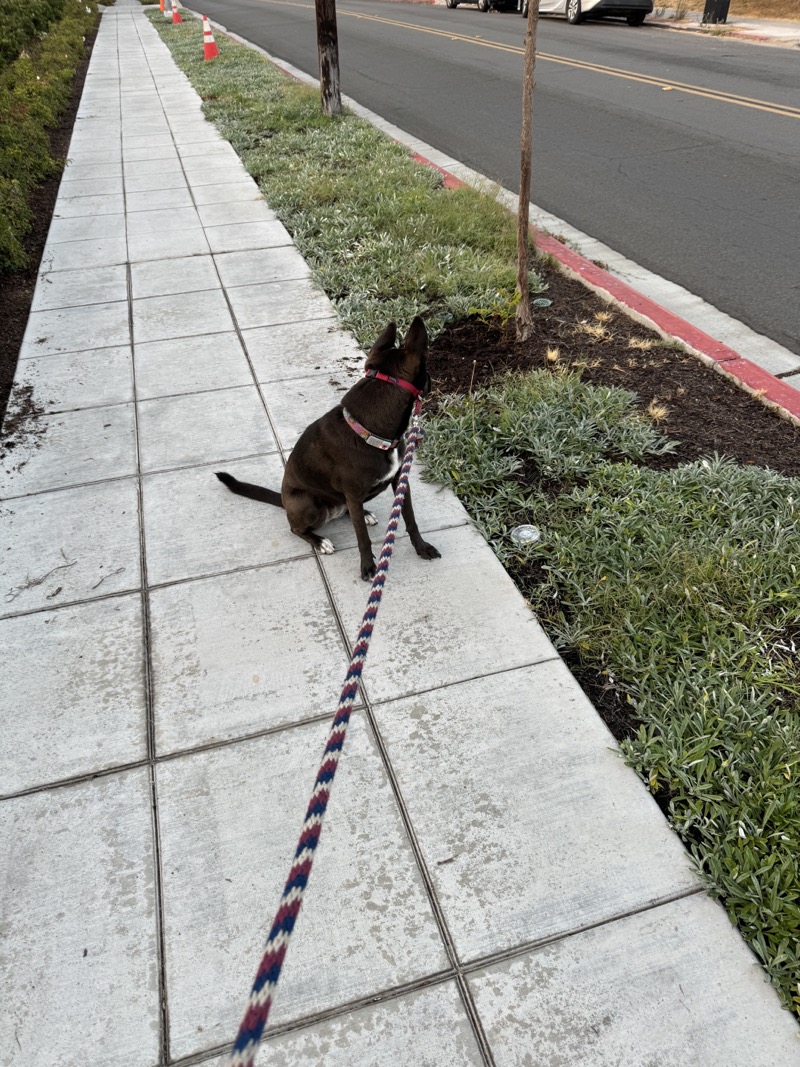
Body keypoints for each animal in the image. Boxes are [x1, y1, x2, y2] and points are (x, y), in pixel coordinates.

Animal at [216, 317, 441, 584]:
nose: (432, 381)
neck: (369, 431)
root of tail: (283, 500)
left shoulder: (399, 480)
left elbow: (410, 518)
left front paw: (422, 547)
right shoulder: (353, 493)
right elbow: (362, 538)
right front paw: (368, 567)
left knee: (349, 513)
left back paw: (363, 514)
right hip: (309, 504)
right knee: (296, 528)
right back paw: (320, 541)